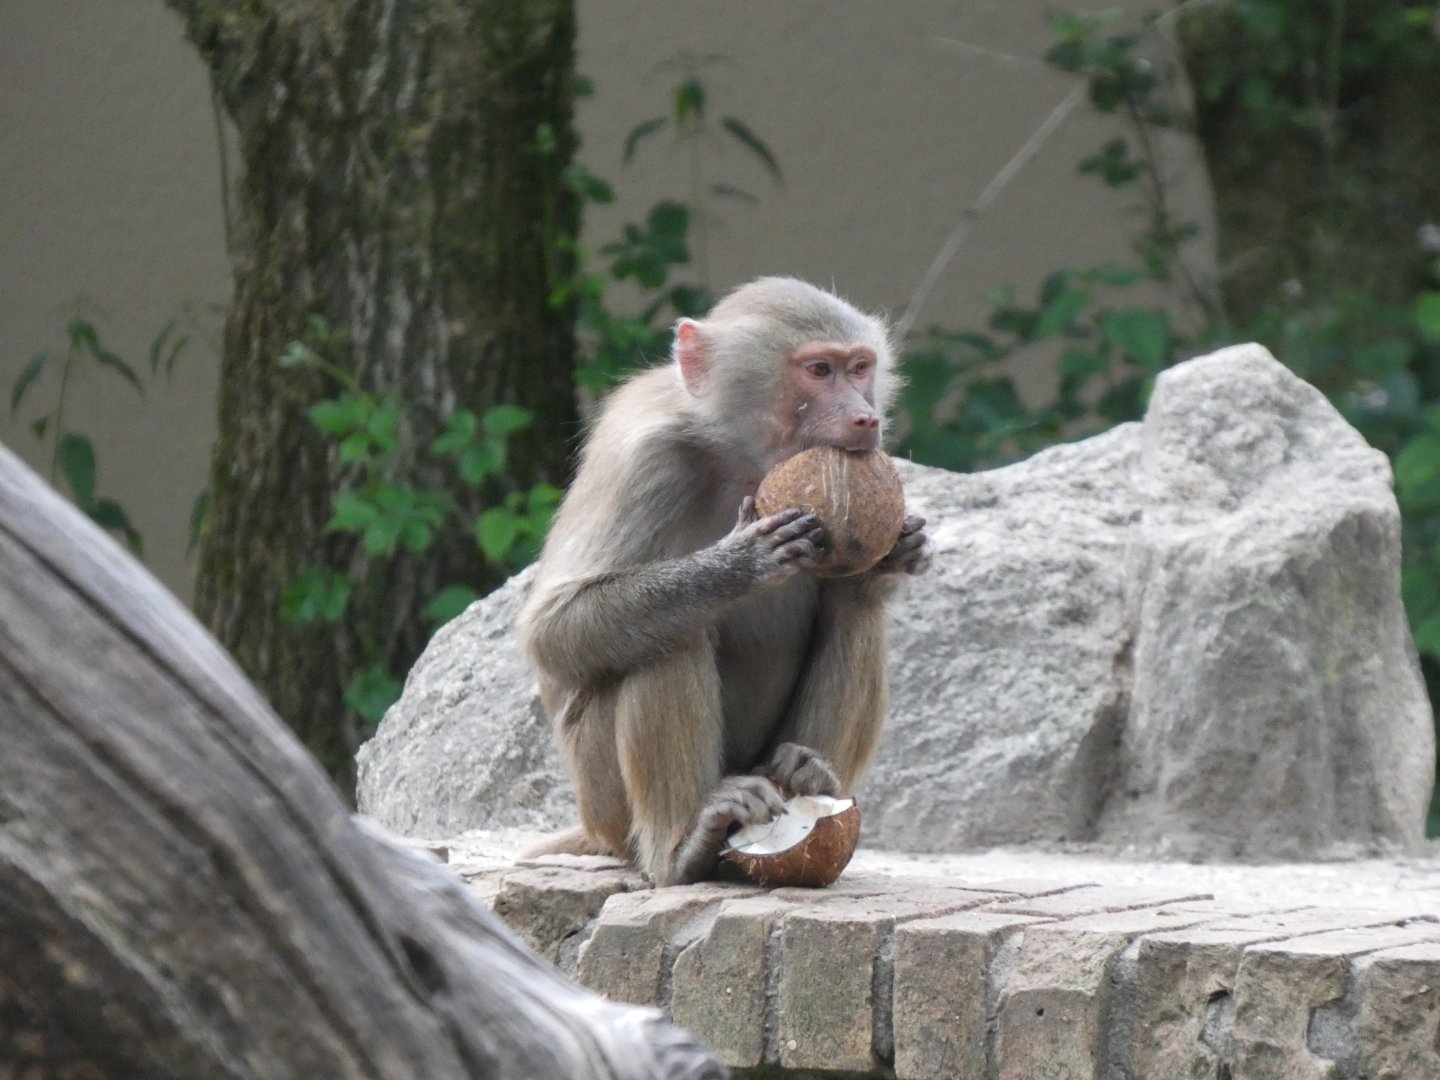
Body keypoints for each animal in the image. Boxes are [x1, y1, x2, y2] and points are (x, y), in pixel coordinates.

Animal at [518, 276, 931, 886]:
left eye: (860, 368)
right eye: (818, 371)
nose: (865, 419)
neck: (743, 456)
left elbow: (855, 593)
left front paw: (897, 554)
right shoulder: (646, 459)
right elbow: (551, 630)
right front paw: (739, 564)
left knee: (857, 616)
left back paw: (810, 777)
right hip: (605, 801)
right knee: (669, 633)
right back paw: (684, 850)